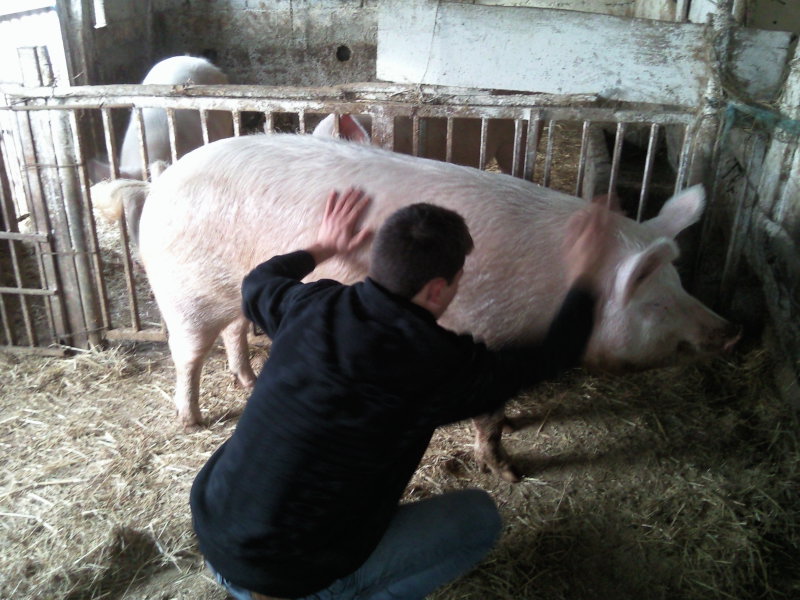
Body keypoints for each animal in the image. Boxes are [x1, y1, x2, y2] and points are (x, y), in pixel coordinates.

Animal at [132, 133, 738, 481]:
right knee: (188, 354)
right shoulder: (491, 338)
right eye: (656, 303)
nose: (731, 331)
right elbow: (489, 416)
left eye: (681, 285)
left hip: (233, 288)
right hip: (183, 292)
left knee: (236, 329)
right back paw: (192, 421)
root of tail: (164, 179)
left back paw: (249, 382)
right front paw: (508, 473)